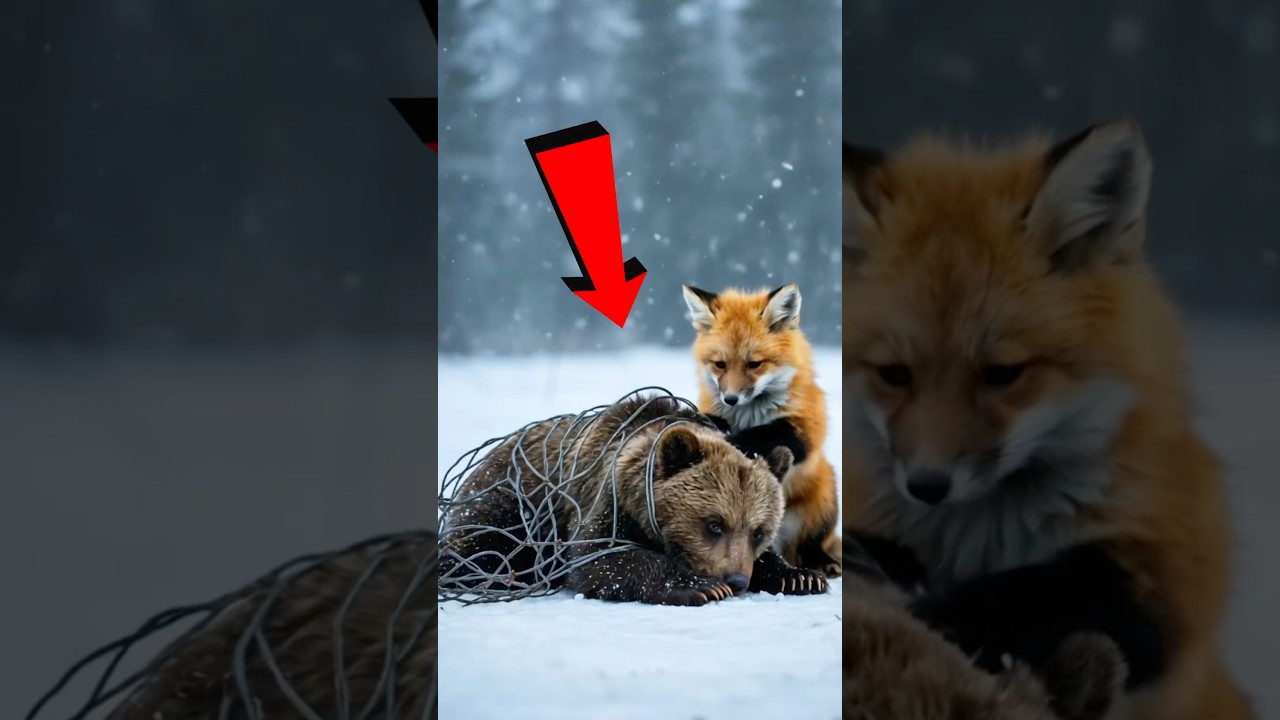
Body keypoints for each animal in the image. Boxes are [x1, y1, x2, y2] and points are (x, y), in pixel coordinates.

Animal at [437, 392, 828, 606]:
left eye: (758, 531)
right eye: (714, 524)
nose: (736, 580)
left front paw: (800, 577)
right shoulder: (606, 499)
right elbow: (602, 559)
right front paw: (700, 587)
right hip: (510, 506)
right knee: (474, 548)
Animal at [681, 283, 842, 577]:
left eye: (754, 364)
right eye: (720, 364)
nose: (730, 399)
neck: (750, 413)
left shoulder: (805, 429)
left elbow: (764, 434)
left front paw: (734, 441)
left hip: (823, 497)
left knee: (810, 545)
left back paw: (821, 561)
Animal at [840, 119, 1254, 719]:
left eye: (1002, 373)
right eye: (894, 374)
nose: (927, 486)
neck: (982, 535)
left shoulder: (1169, 573)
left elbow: (1014, 600)